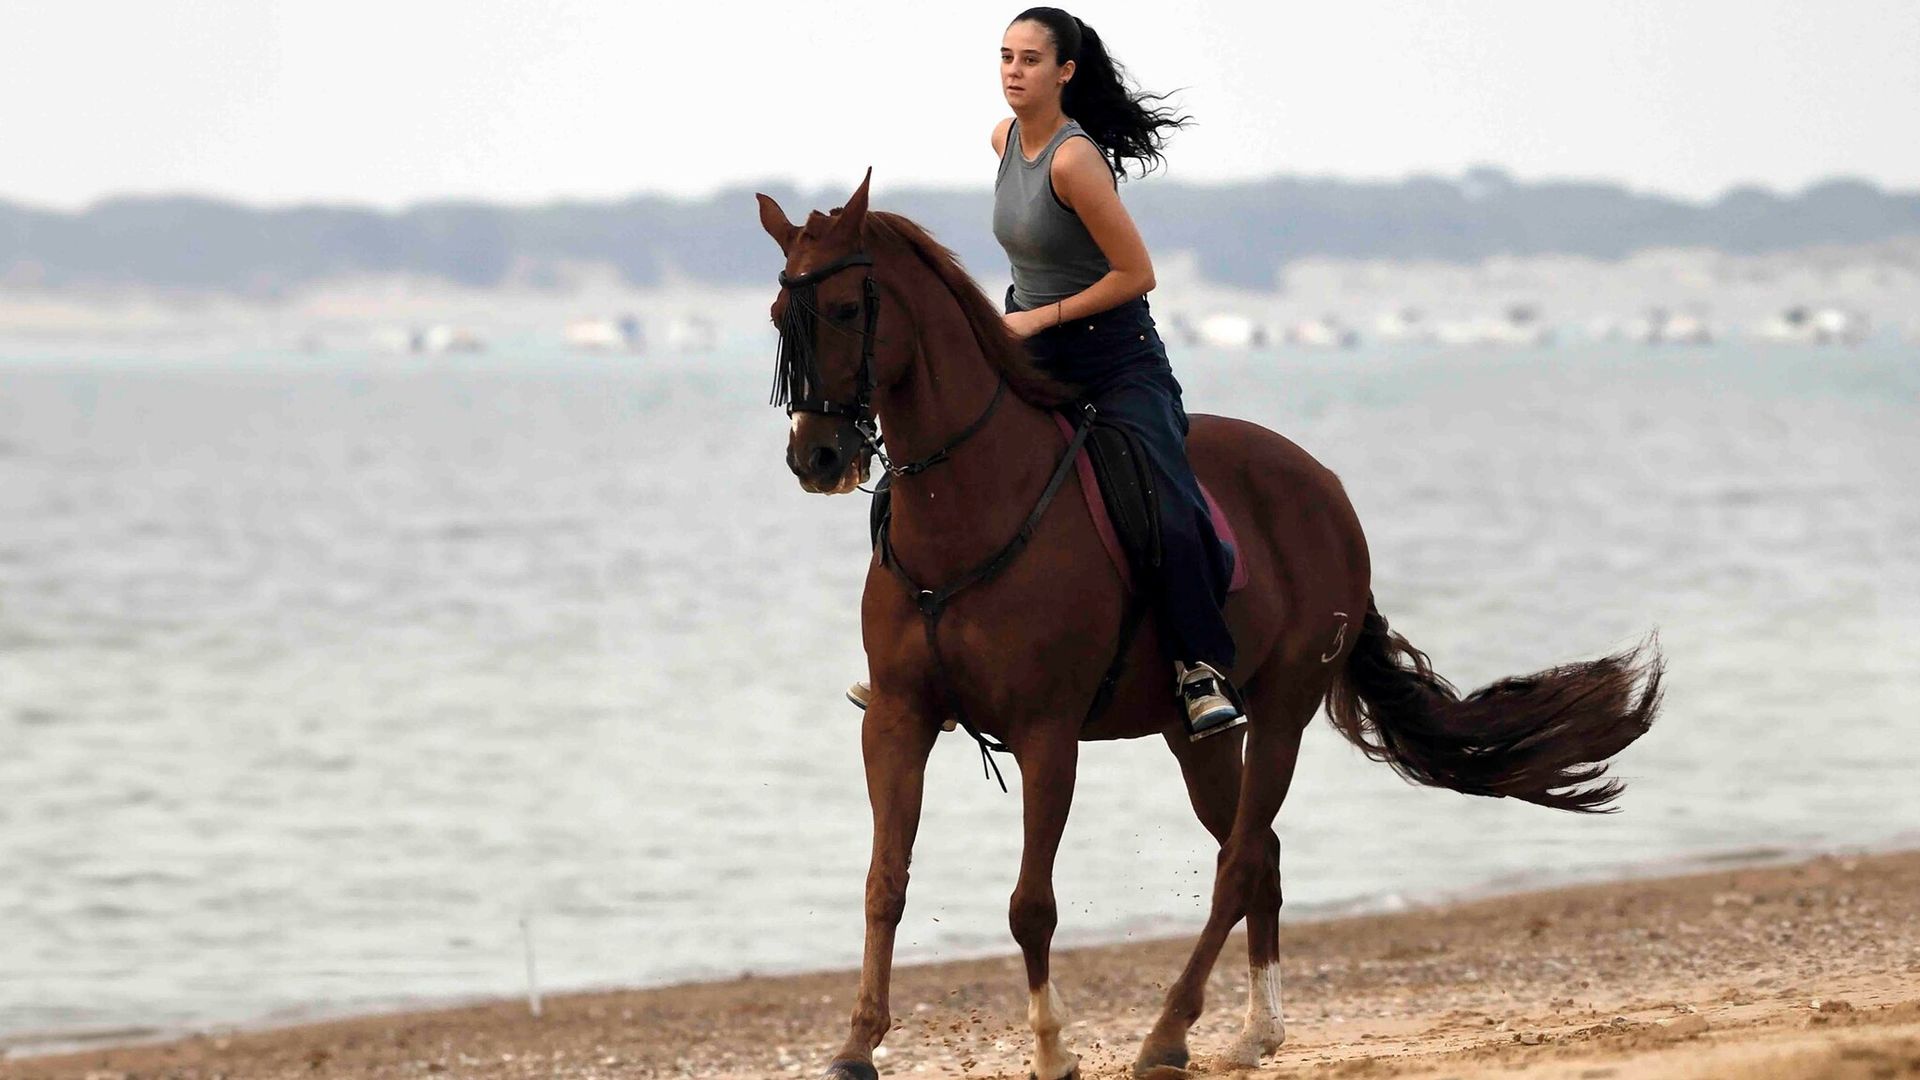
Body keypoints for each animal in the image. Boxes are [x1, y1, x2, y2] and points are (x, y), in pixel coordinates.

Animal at [756, 168, 1658, 1076]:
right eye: (776, 315)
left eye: (844, 310)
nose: (815, 458)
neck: (969, 507)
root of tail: (1329, 492)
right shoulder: (898, 718)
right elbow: (884, 882)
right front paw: (856, 1044)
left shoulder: (1047, 732)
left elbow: (1030, 904)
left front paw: (1053, 1047)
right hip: (1196, 735)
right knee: (1262, 856)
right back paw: (1256, 1029)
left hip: (1285, 709)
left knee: (1243, 858)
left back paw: (1169, 1030)